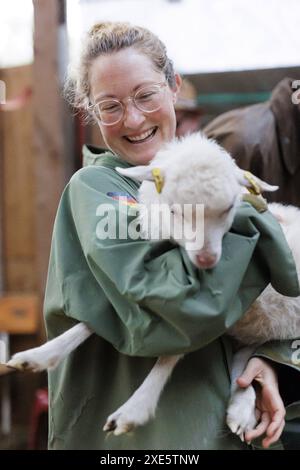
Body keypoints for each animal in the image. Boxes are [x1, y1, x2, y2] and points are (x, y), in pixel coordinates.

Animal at [7, 132, 300, 440]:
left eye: (231, 207)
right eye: (173, 209)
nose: (207, 259)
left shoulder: (211, 312)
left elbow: (172, 351)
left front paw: (134, 410)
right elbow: (101, 318)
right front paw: (38, 356)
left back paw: (242, 409)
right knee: (245, 354)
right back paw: (241, 410)